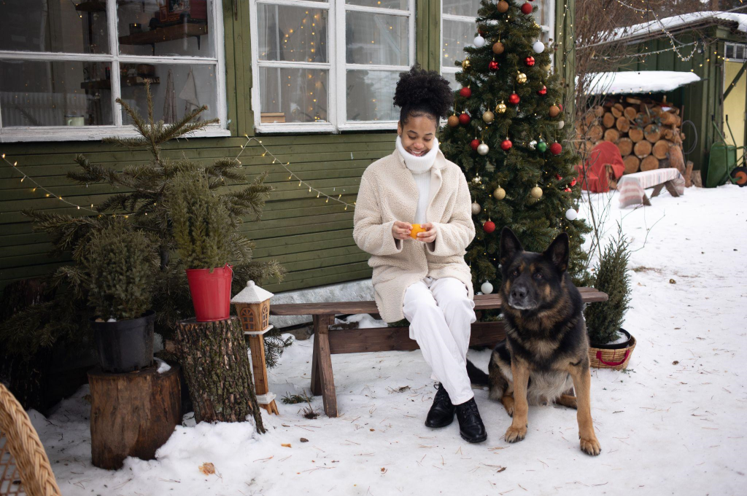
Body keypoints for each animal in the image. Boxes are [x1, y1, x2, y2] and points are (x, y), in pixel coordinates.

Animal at [486, 227, 600, 456]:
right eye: (514, 272)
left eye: (538, 275)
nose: (517, 293)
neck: (539, 321)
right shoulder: (519, 366)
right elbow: (521, 402)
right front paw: (518, 428)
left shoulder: (580, 367)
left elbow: (585, 411)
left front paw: (588, 439)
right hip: (501, 353)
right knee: (507, 394)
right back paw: (511, 405)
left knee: (565, 396)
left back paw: (573, 400)